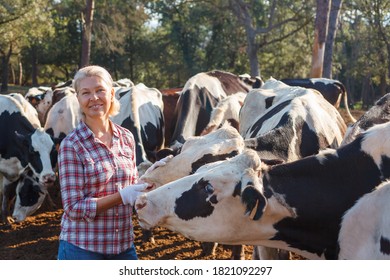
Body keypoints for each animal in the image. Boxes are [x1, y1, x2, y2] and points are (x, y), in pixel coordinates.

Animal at [0, 95, 57, 223]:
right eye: (32, 151)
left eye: (53, 151)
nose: (49, 177)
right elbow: (6, 191)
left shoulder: (14, 172)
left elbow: (9, 191)